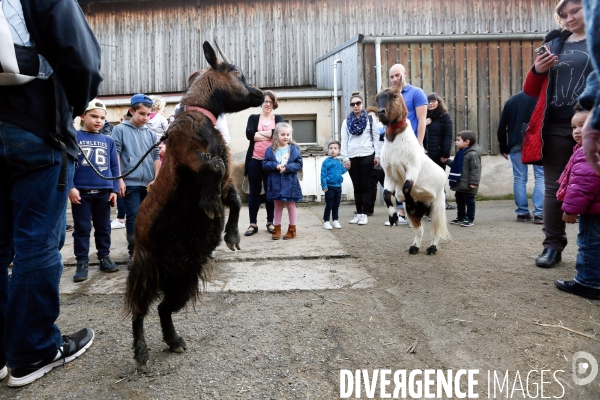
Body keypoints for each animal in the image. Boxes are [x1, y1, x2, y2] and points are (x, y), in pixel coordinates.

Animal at [124, 41, 262, 368]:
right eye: (236, 72)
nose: (262, 94)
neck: (201, 119)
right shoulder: (189, 157)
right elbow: (212, 167)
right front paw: (209, 205)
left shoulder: (227, 181)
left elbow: (234, 198)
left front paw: (231, 235)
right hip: (146, 267)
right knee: (139, 311)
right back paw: (141, 353)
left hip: (184, 276)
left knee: (163, 308)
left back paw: (174, 341)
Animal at [376, 84, 450, 255]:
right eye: (377, 98)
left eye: (394, 96)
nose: (381, 112)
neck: (396, 140)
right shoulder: (389, 173)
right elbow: (386, 193)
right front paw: (393, 217)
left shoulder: (412, 168)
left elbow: (406, 187)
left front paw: (409, 203)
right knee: (420, 229)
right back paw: (415, 247)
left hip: (437, 206)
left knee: (436, 229)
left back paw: (432, 248)